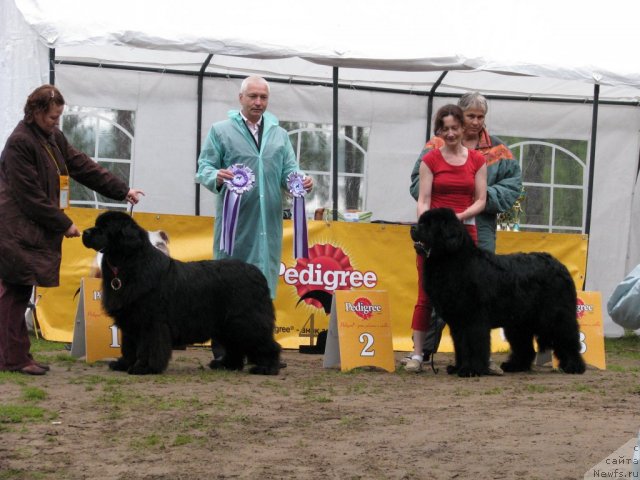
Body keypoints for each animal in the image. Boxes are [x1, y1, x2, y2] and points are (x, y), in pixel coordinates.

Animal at [81, 211, 282, 376]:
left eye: (105, 227)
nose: (85, 233)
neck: (128, 263)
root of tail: (257, 272)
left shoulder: (151, 321)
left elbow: (148, 346)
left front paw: (144, 367)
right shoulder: (130, 320)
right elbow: (129, 346)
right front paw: (123, 364)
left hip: (246, 320)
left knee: (265, 342)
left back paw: (267, 367)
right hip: (227, 324)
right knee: (235, 345)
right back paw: (227, 364)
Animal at [410, 208, 584, 376]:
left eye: (430, 224)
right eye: (422, 221)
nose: (413, 227)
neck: (452, 261)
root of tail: (560, 266)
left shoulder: (474, 319)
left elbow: (474, 344)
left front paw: (471, 370)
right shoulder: (458, 321)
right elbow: (461, 346)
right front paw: (459, 367)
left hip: (554, 316)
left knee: (568, 339)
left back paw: (574, 366)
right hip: (519, 322)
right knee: (525, 347)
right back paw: (515, 366)